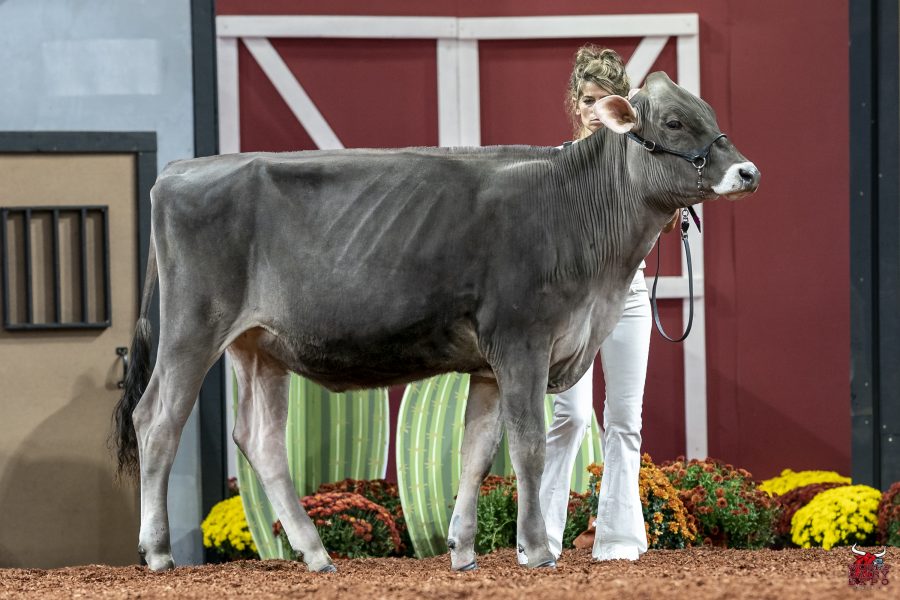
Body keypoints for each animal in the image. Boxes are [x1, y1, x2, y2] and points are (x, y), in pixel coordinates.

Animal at [113, 71, 759, 573]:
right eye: (673, 123)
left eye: (709, 114)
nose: (748, 172)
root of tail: (177, 172)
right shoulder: (522, 342)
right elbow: (527, 447)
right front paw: (536, 550)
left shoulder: (491, 366)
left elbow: (476, 451)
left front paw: (464, 551)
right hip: (192, 327)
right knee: (157, 419)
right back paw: (160, 552)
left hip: (258, 344)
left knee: (261, 439)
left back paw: (316, 554)